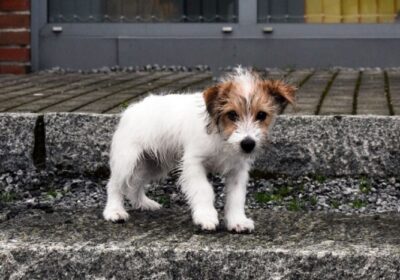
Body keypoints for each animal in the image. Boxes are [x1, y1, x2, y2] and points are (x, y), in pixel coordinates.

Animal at [103, 67, 296, 232]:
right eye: (232, 114)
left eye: (261, 115)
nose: (248, 144)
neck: (222, 137)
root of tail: (131, 109)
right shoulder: (194, 164)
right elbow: (204, 190)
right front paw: (206, 216)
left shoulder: (238, 170)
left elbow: (236, 197)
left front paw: (237, 220)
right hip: (127, 160)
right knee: (114, 185)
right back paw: (114, 211)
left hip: (153, 164)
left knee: (135, 185)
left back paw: (144, 203)